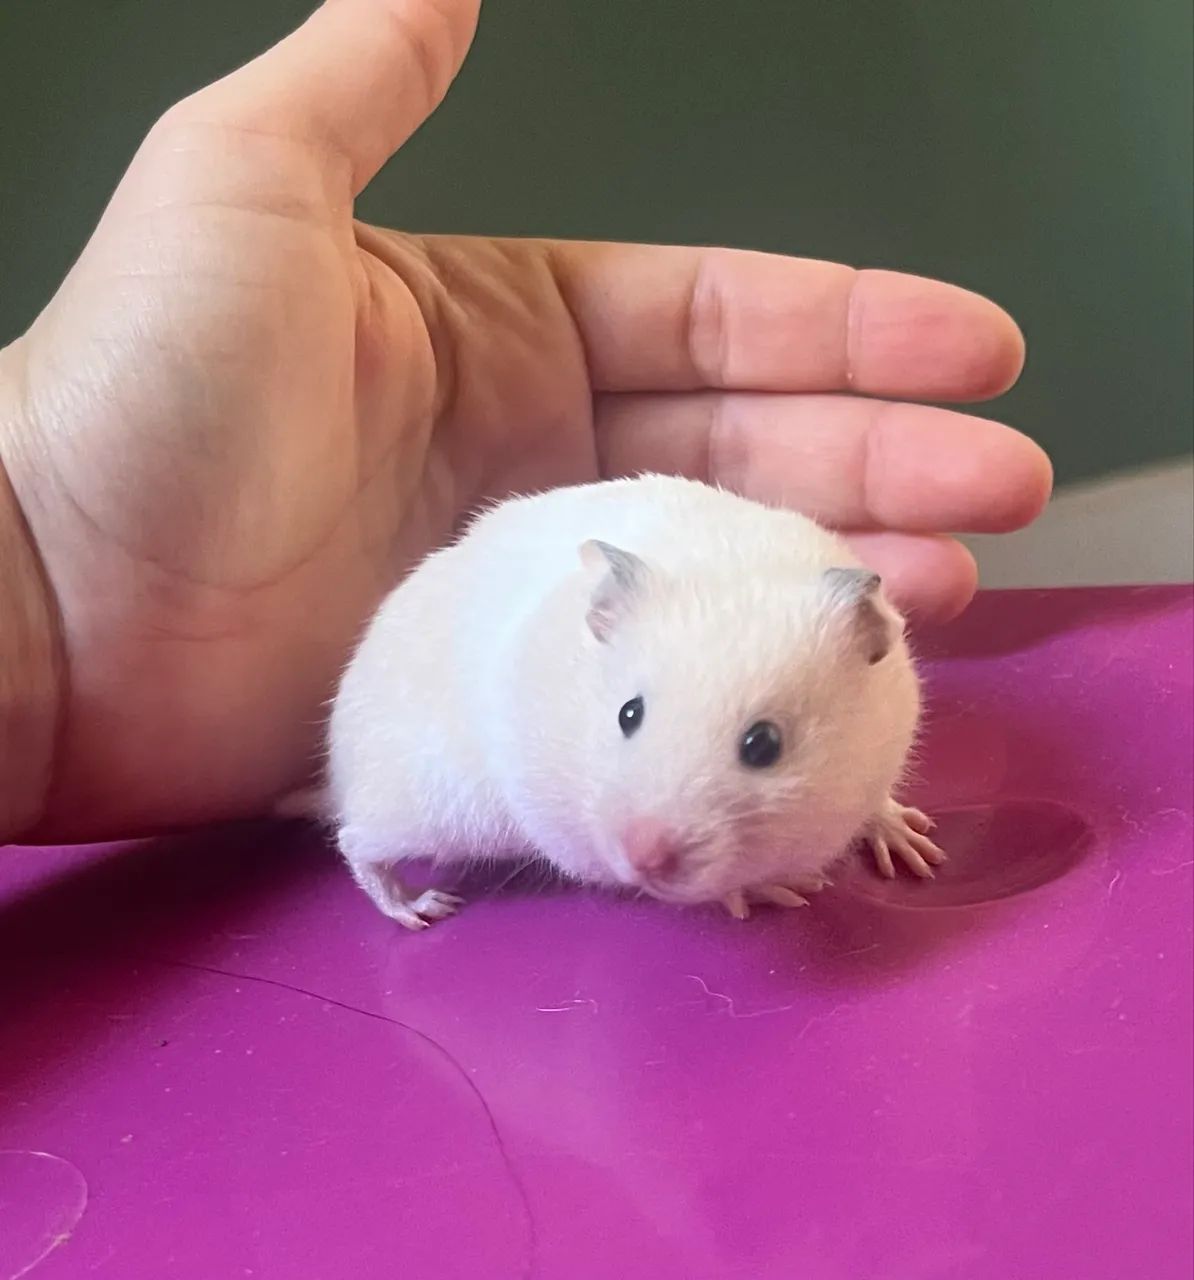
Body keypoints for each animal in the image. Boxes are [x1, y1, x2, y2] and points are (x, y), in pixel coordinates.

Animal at [286, 474, 944, 929]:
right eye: (629, 714)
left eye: (765, 745)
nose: (643, 858)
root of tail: (338, 770)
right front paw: (776, 891)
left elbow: (879, 804)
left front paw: (917, 847)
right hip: (433, 809)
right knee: (356, 842)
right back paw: (418, 908)